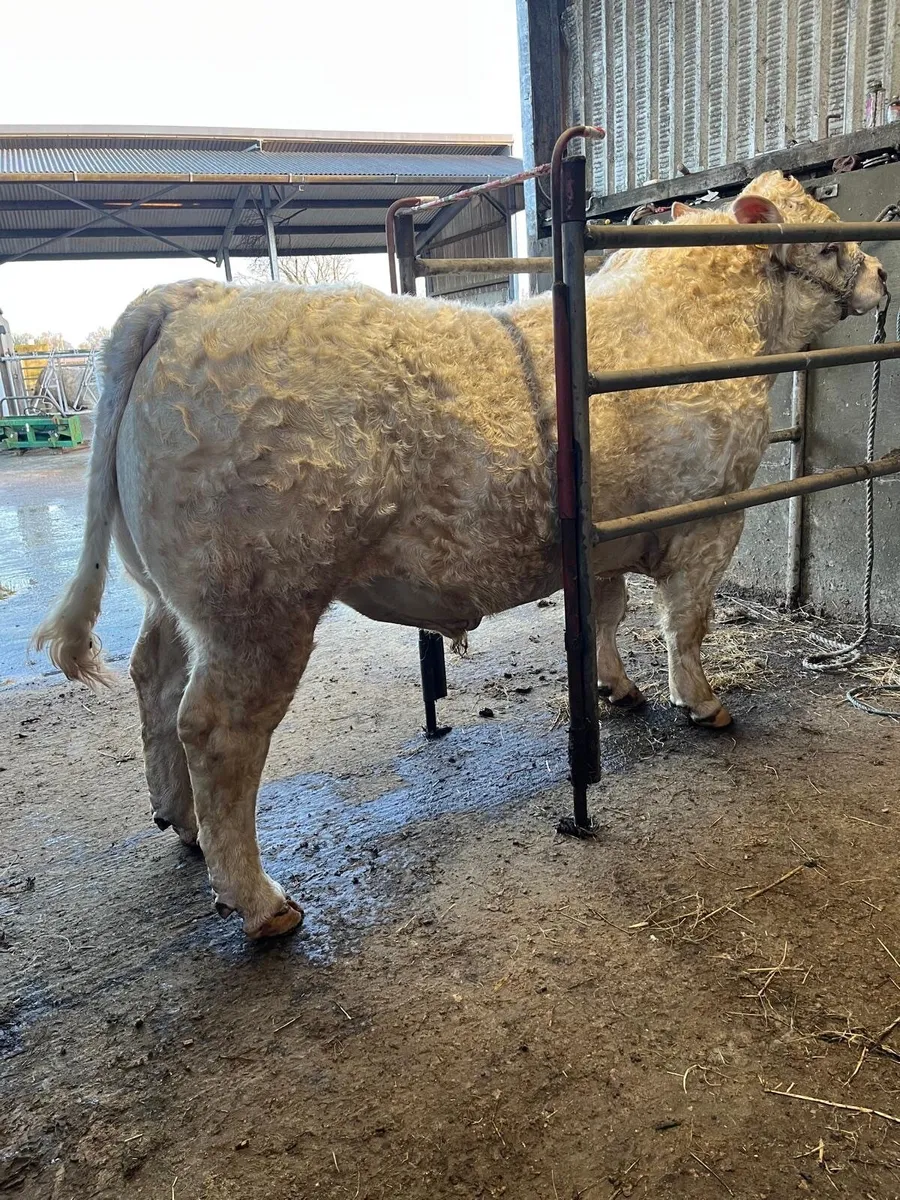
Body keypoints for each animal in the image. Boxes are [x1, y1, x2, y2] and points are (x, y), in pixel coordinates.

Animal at [33, 171, 887, 938]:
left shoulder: (606, 533)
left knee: (154, 675)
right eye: (829, 239)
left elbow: (607, 614)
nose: (881, 274)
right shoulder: (709, 517)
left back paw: (178, 821)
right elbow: (688, 623)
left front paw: (616, 688)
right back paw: (260, 902)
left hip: (177, 594)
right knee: (215, 728)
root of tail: (188, 299)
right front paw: (703, 703)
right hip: (257, 604)